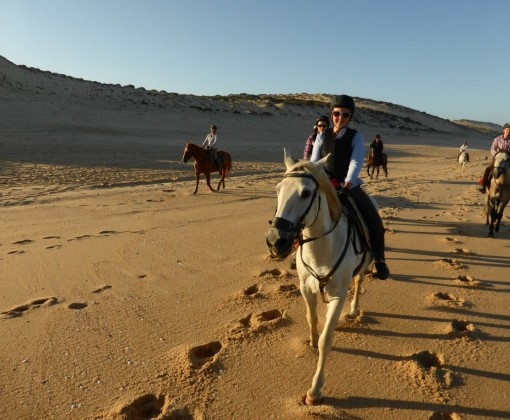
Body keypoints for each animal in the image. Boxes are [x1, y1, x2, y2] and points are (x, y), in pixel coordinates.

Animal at [264, 149, 372, 406]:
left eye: (305, 193)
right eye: (278, 189)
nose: (275, 242)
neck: (321, 249)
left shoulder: (337, 296)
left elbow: (326, 340)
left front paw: (315, 392)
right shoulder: (306, 288)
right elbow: (311, 319)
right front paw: (311, 341)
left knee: (359, 282)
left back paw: (353, 310)